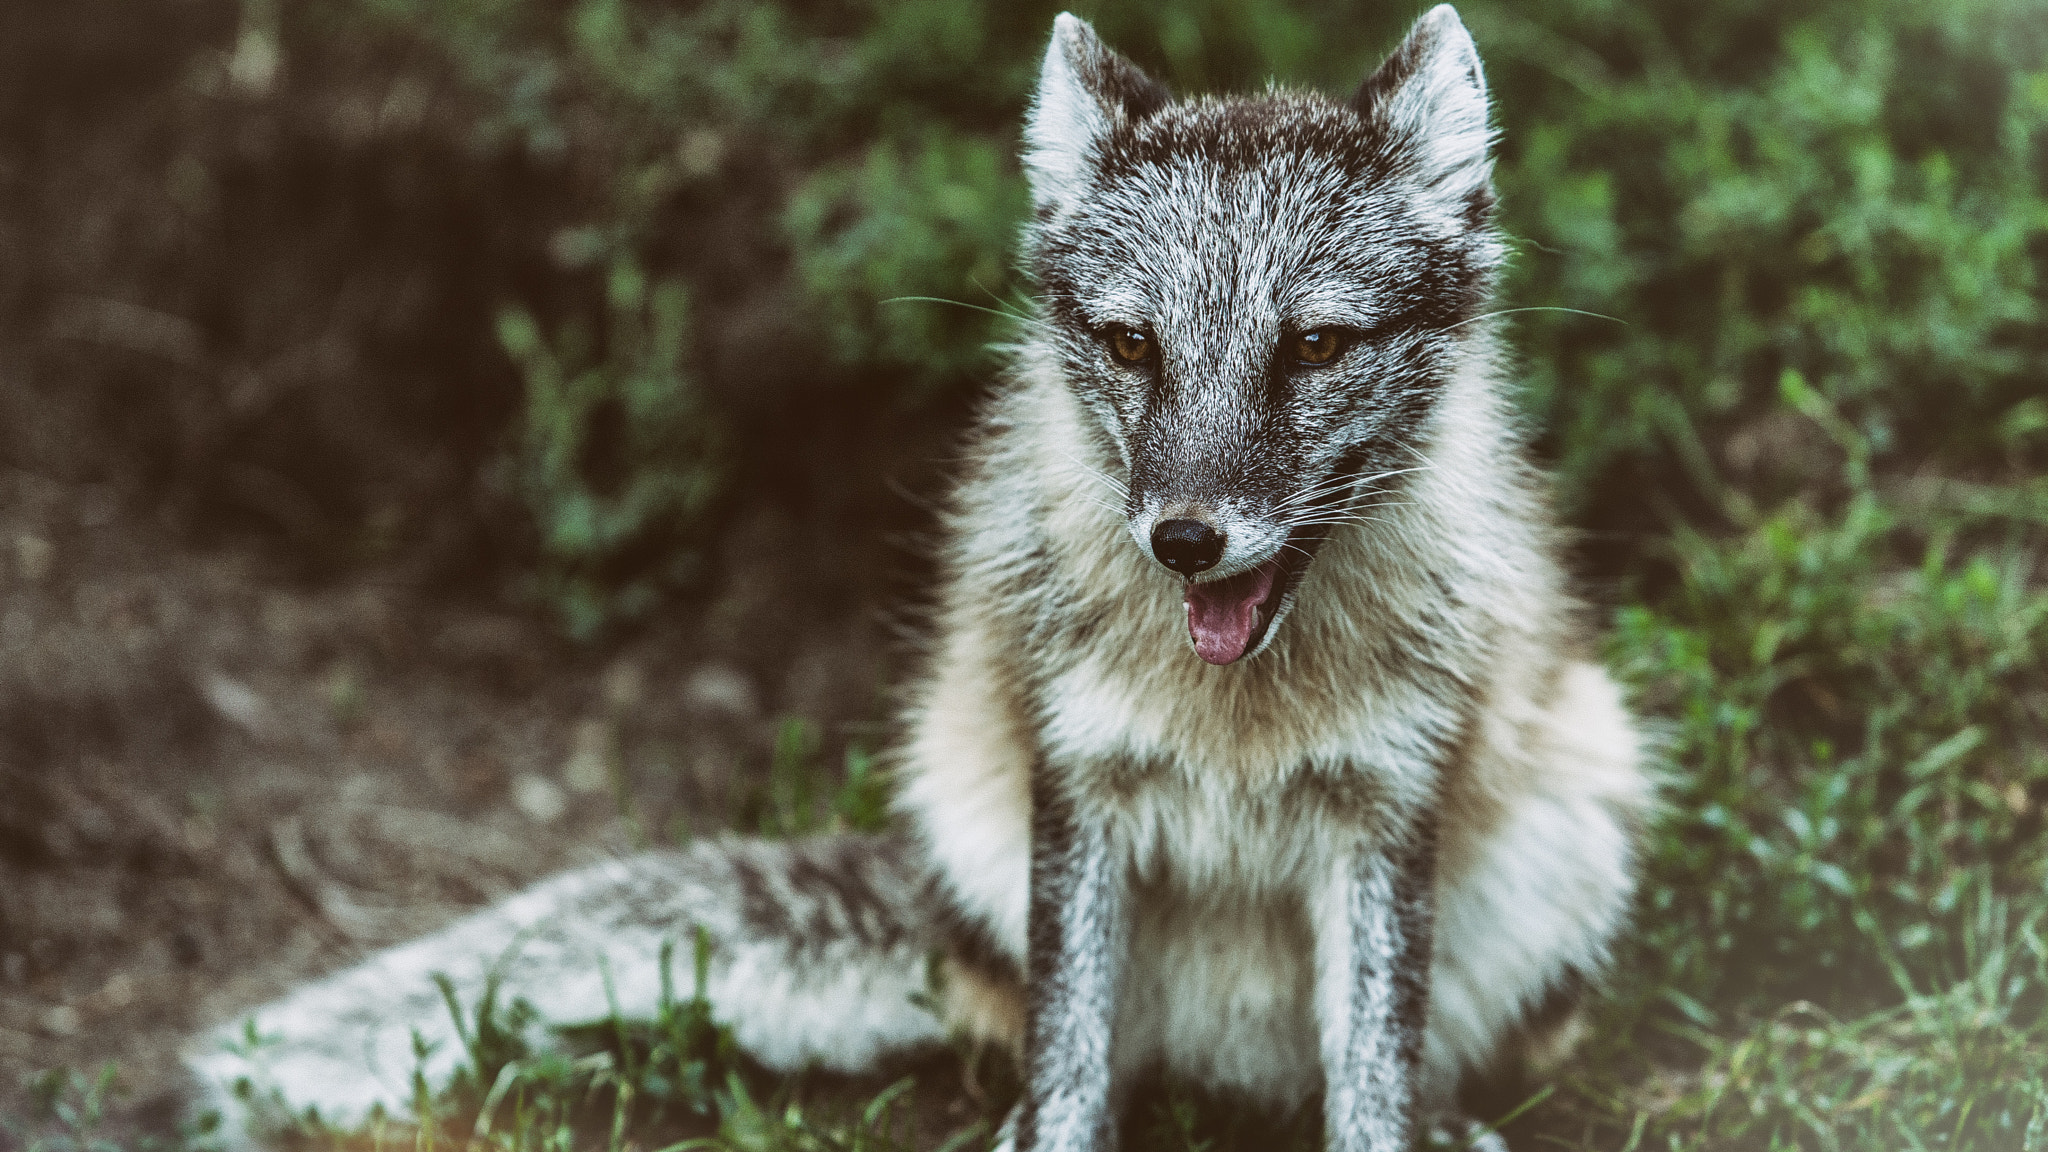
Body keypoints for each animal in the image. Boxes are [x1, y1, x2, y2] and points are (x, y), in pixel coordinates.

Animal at [184, 8, 1651, 1151]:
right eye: (1131, 344)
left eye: (1316, 347)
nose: (1182, 540)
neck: (1234, 726)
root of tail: (1233, 1062)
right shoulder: (1080, 786)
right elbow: (1067, 1070)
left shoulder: (1383, 813)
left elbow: (1373, 1079)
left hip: (1584, 803)